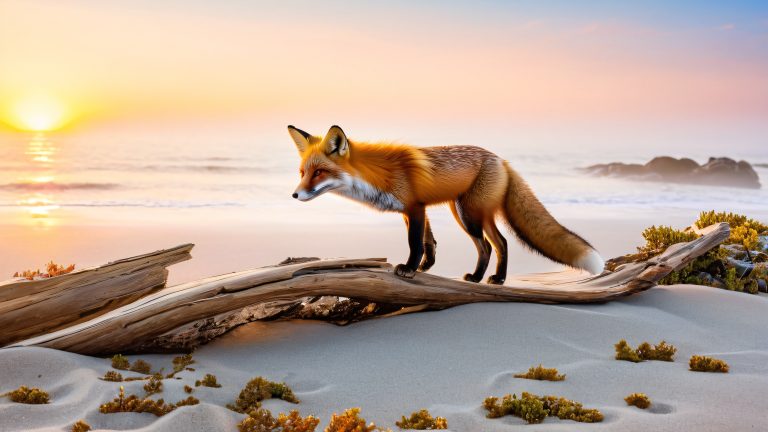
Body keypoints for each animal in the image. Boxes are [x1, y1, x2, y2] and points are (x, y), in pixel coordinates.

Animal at [288, 125, 605, 283]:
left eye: (319, 172)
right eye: (302, 172)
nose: (295, 195)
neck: (376, 176)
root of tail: (502, 160)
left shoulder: (415, 208)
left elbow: (415, 243)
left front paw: (409, 269)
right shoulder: (414, 211)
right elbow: (430, 242)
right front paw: (426, 267)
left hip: (469, 215)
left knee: (492, 245)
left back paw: (489, 278)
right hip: (467, 212)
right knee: (497, 244)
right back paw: (484, 278)